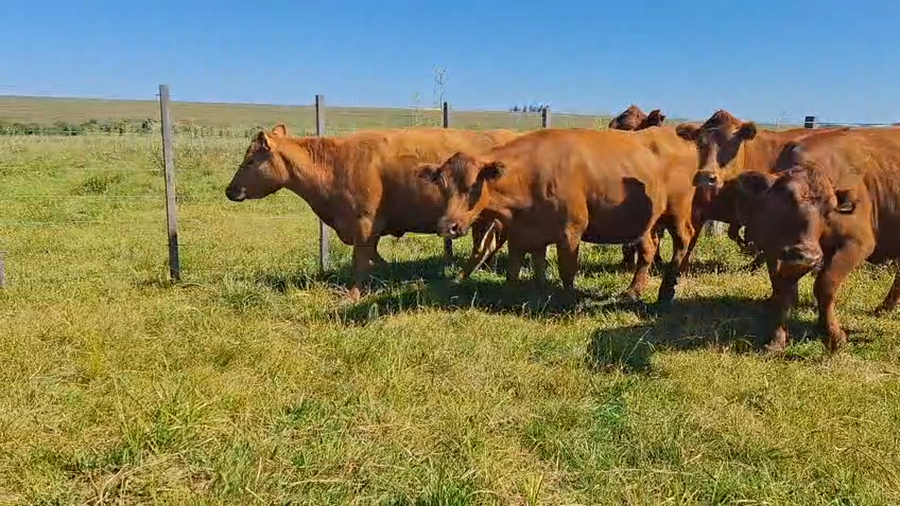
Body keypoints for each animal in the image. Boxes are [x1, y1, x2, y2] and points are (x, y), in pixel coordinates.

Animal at [224, 124, 521, 300]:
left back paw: (458, 280)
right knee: (486, 247)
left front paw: (353, 295)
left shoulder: (364, 222)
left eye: (250, 161)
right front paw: (392, 275)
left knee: (481, 248)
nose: (230, 190)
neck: (335, 163)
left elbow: (361, 259)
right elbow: (373, 258)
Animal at [417, 127, 700, 304]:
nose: (448, 226)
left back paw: (666, 291)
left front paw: (567, 302)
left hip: (677, 212)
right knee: (649, 249)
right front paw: (527, 296)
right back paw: (633, 291)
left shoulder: (570, 231)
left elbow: (567, 270)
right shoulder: (522, 232)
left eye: (471, 186)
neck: (528, 175)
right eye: (442, 185)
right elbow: (520, 270)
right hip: (644, 224)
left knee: (684, 240)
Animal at [723, 126, 900, 354]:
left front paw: (834, 336)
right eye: (786, 200)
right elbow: (783, 292)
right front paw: (777, 341)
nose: (806, 254)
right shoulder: (776, 251)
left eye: (829, 210)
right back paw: (884, 308)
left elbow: (824, 286)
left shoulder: (856, 244)